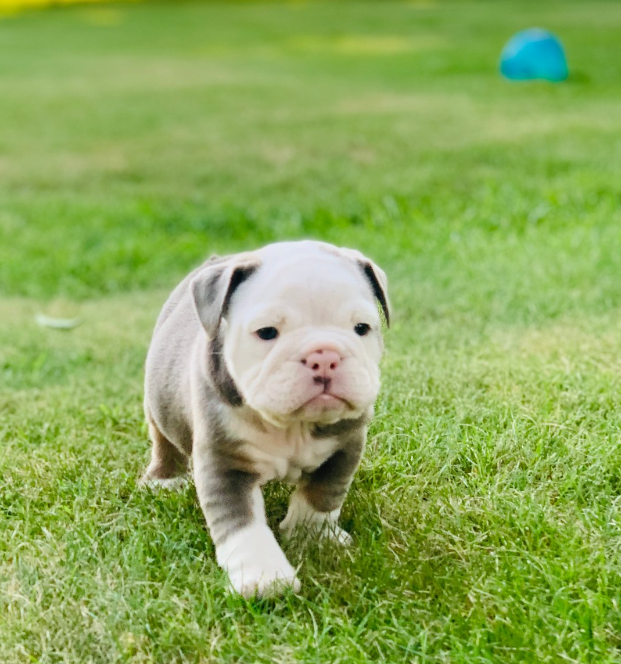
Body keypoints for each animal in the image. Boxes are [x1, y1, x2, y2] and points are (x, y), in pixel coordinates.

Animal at [143, 240, 390, 596]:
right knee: (163, 440)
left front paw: (312, 537)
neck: (292, 425)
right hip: (157, 404)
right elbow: (242, 525)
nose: (324, 356)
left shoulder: (345, 447)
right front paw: (265, 578)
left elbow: (322, 496)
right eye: (267, 332)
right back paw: (164, 480)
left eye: (361, 328)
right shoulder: (224, 462)